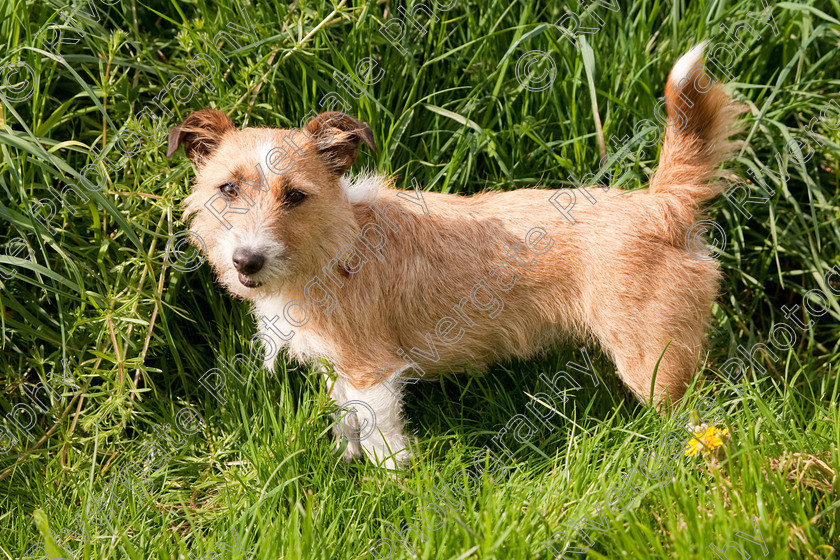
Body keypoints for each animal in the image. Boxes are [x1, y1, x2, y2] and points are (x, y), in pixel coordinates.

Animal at [169, 46, 740, 470]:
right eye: (227, 189)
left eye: (295, 196)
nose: (247, 261)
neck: (334, 246)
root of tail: (660, 203)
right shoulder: (342, 368)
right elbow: (346, 418)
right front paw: (346, 458)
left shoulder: (374, 373)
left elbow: (383, 439)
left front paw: (394, 485)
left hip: (657, 365)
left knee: (704, 416)